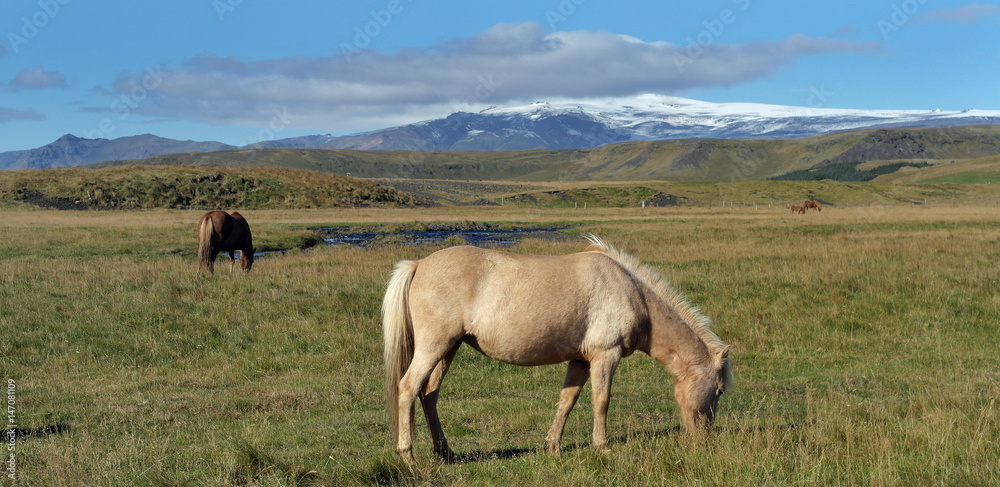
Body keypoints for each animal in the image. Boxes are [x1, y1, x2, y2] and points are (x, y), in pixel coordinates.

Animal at [378, 236, 732, 468]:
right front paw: (602, 448)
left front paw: (553, 446)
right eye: (718, 391)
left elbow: (567, 402)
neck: (634, 294)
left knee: (429, 394)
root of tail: (418, 264)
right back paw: (408, 457)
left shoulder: (580, 360)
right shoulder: (606, 356)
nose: (706, 439)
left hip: (448, 349)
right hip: (433, 348)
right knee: (408, 389)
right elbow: (601, 402)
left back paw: (446, 452)